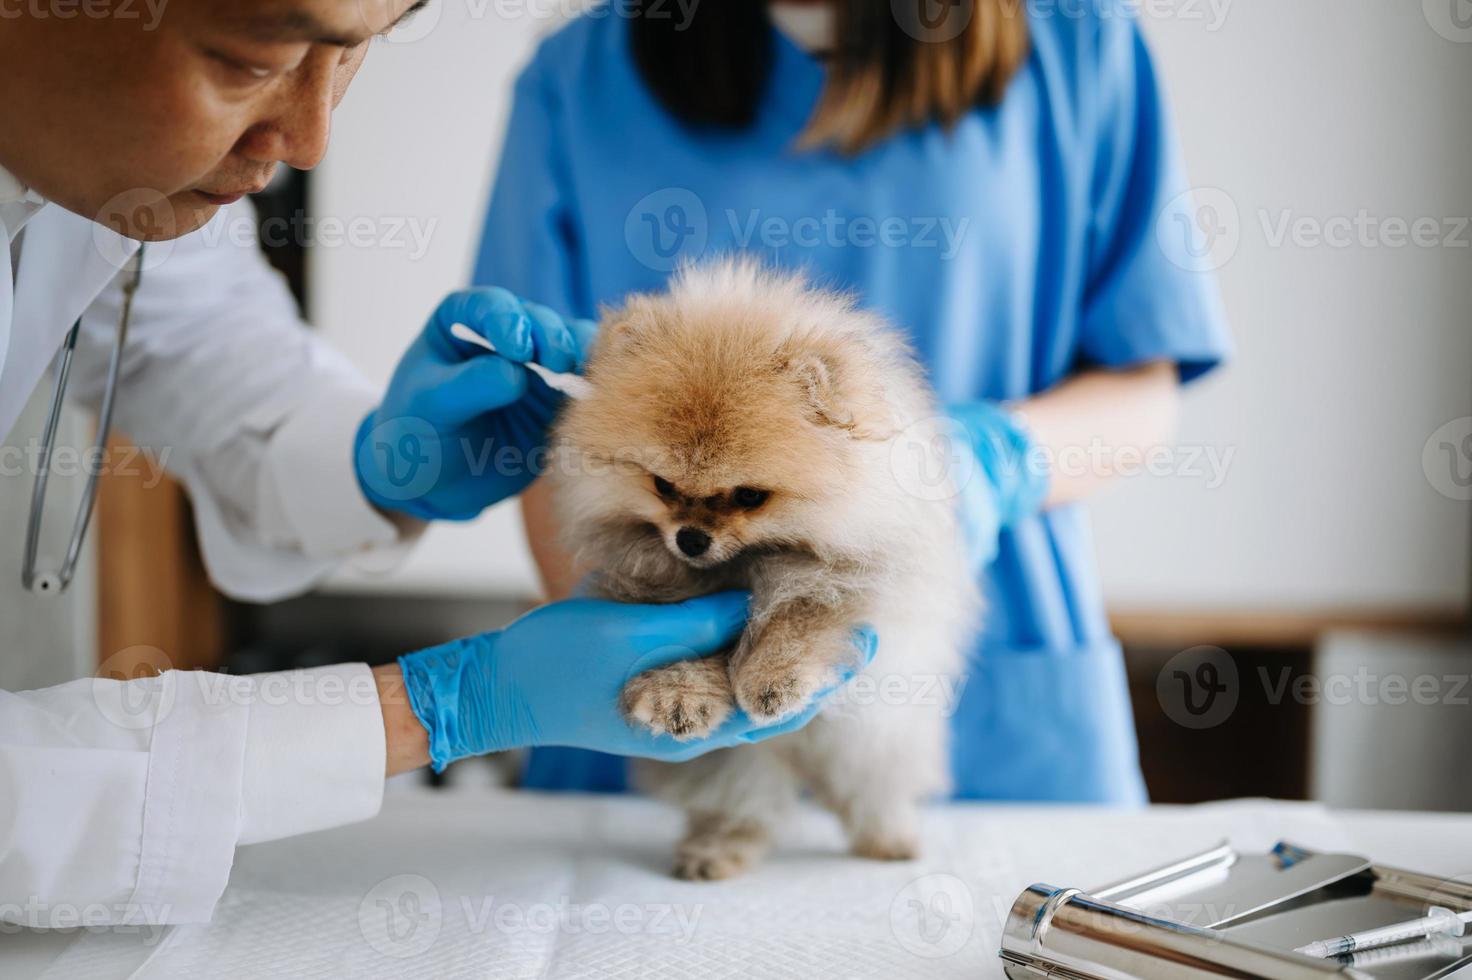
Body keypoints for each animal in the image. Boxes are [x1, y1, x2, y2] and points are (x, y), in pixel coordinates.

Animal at [547, 258, 983, 876]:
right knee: (744, 803)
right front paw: (679, 696)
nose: (690, 538)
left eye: (750, 496)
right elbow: (682, 645)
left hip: (872, 738)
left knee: (872, 789)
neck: (748, 564)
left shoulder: (852, 580)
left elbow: (800, 618)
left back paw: (889, 837)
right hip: (735, 765)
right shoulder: (654, 591)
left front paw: (773, 681)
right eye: (662, 486)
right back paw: (717, 850)